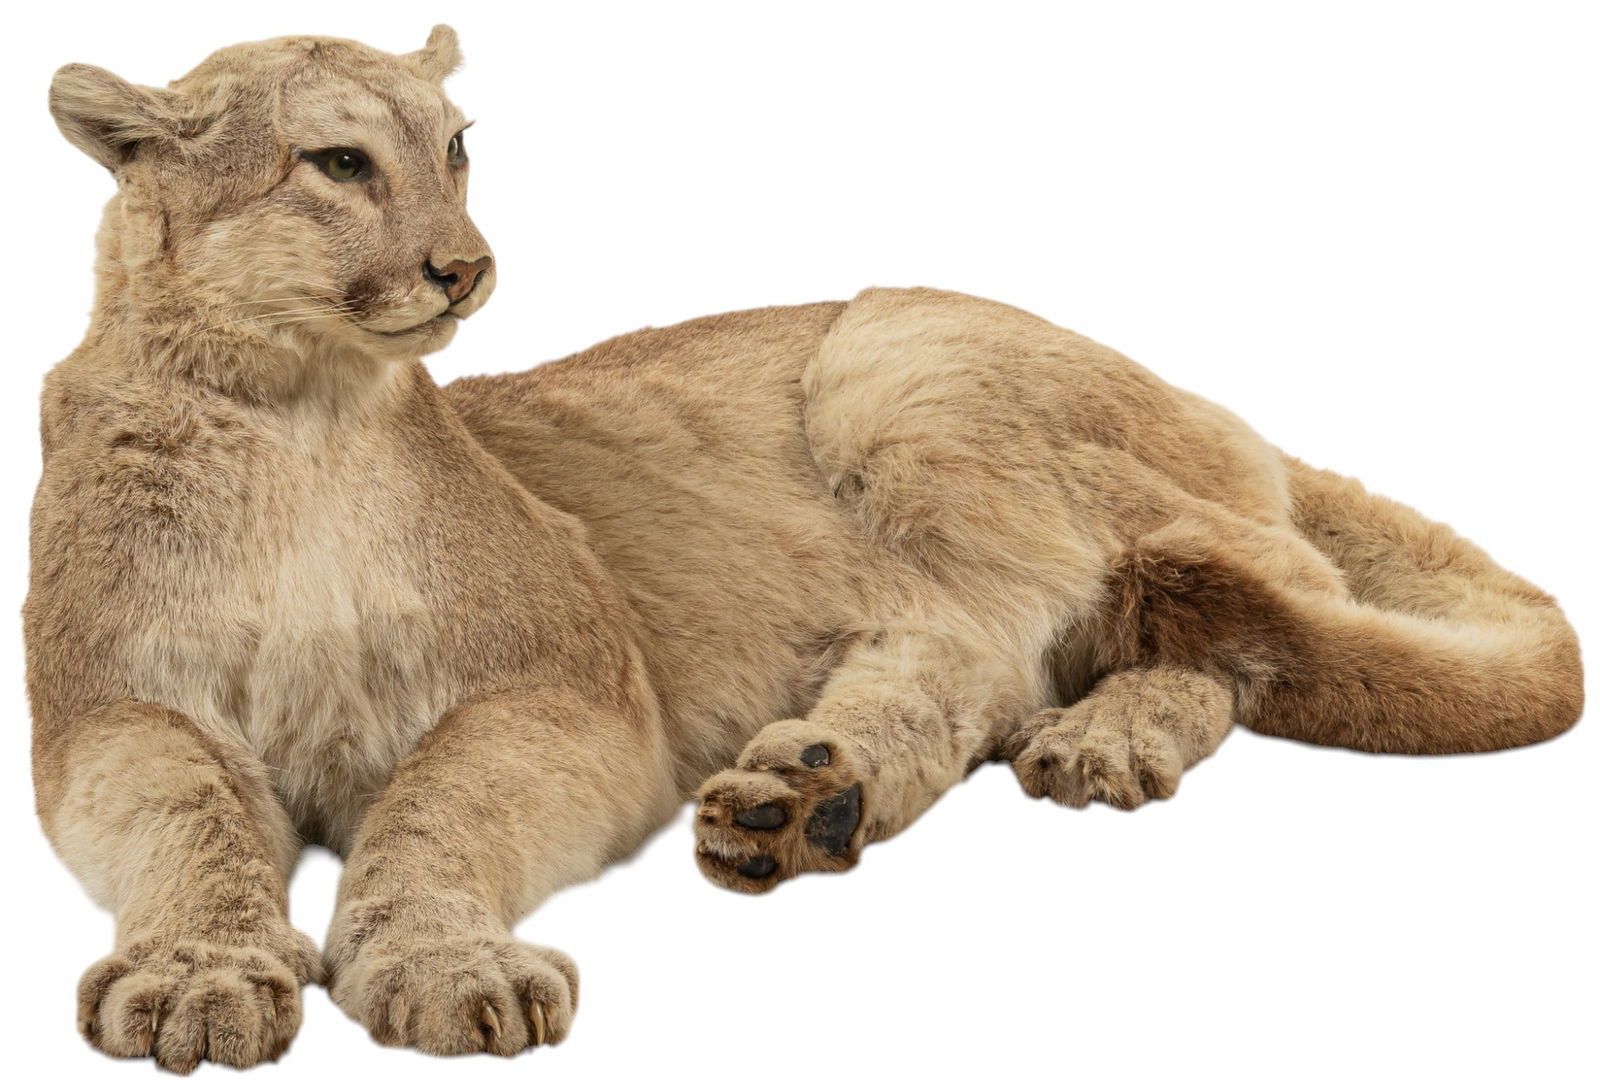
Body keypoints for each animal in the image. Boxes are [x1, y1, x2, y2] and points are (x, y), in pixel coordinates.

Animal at [28, 25, 1582, 1072]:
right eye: (340, 163)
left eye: (456, 148)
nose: (463, 266)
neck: (299, 417)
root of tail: (1209, 399)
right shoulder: (111, 712)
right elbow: (192, 818)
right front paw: (199, 974)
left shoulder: (569, 689)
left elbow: (436, 809)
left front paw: (437, 961)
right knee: (1056, 650)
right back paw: (828, 791)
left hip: (899, 361)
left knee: (1167, 607)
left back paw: (945, 767)